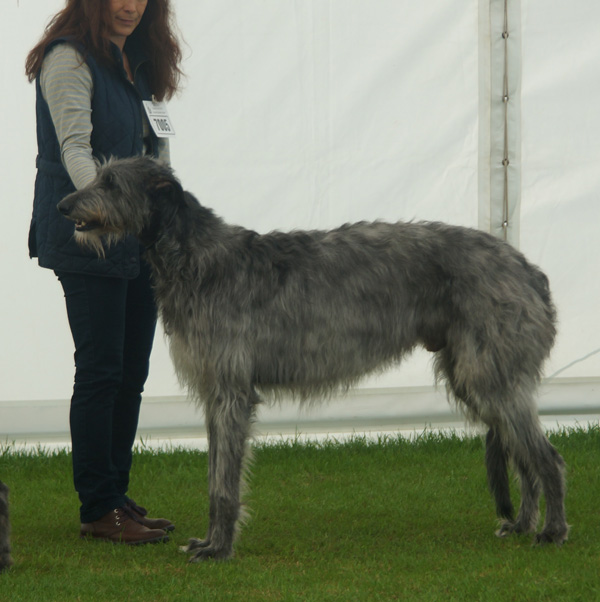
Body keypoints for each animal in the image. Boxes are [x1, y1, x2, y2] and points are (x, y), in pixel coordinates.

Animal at [56, 156, 568, 556]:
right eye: (98, 175)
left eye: (111, 183)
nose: (63, 206)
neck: (195, 259)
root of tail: (528, 269)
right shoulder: (214, 390)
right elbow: (215, 474)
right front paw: (209, 541)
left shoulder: (230, 390)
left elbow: (224, 482)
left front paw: (218, 548)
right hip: (476, 374)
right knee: (523, 456)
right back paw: (523, 524)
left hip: (491, 372)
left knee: (546, 458)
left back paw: (552, 530)